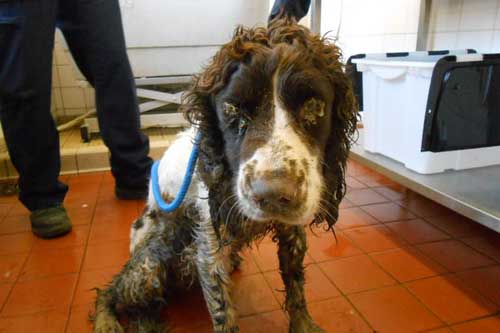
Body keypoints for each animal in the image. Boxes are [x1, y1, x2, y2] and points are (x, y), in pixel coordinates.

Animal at [93, 17, 356, 332]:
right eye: (232, 108)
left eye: (314, 105)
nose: (272, 196)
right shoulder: (209, 248)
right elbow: (222, 311)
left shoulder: (292, 230)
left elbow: (296, 288)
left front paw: (303, 324)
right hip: (149, 264)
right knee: (112, 290)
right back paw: (109, 320)